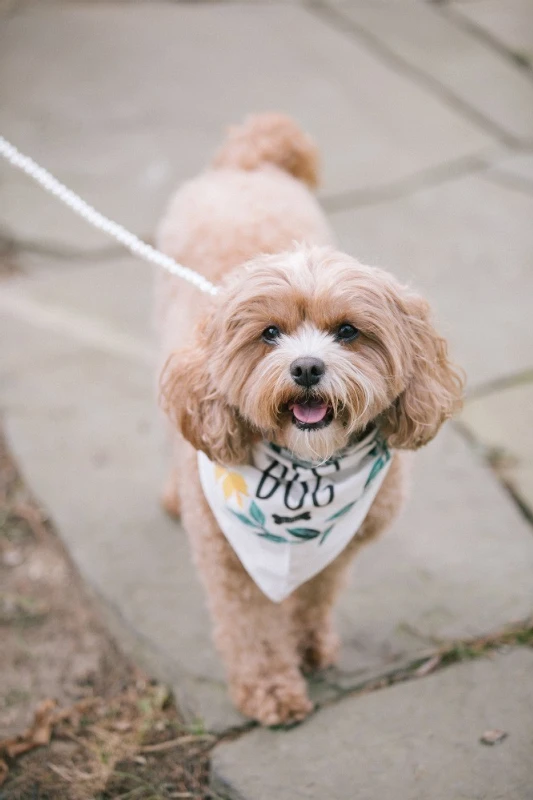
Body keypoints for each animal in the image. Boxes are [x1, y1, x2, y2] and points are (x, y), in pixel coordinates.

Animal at [156, 112, 464, 724]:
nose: (305, 367)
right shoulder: (230, 562)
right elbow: (251, 627)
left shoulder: (341, 545)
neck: (308, 470)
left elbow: (317, 592)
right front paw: (271, 689)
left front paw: (309, 644)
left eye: (347, 331)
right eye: (269, 333)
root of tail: (249, 165)